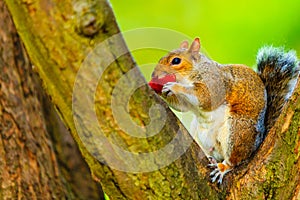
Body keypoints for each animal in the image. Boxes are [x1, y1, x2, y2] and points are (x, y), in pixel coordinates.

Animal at [149, 37, 298, 183]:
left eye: (176, 61)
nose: (154, 74)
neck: (195, 70)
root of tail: (258, 142)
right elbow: (183, 107)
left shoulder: (215, 83)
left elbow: (205, 97)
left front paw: (174, 86)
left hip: (237, 130)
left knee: (234, 160)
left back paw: (222, 167)